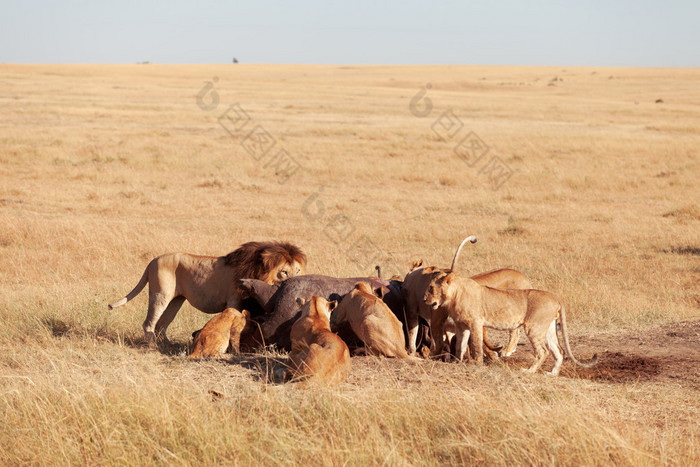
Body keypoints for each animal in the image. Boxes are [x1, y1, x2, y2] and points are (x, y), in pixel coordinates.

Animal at [108, 243, 304, 346]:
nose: (297, 281)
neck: (258, 273)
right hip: (160, 295)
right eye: (284, 272)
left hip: (176, 300)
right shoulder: (233, 301)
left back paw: (168, 345)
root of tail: (152, 261)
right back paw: (153, 346)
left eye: (298, 270)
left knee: (161, 325)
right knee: (149, 323)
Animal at [422, 274, 596, 376]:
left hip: (534, 328)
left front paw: (476, 363)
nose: (424, 300)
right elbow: (461, 345)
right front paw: (457, 361)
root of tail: (556, 297)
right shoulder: (461, 326)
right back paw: (552, 373)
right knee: (559, 351)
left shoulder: (476, 322)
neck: (454, 294)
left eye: (431, 288)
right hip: (548, 329)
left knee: (543, 351)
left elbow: (476, 344)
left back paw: (529, 371)